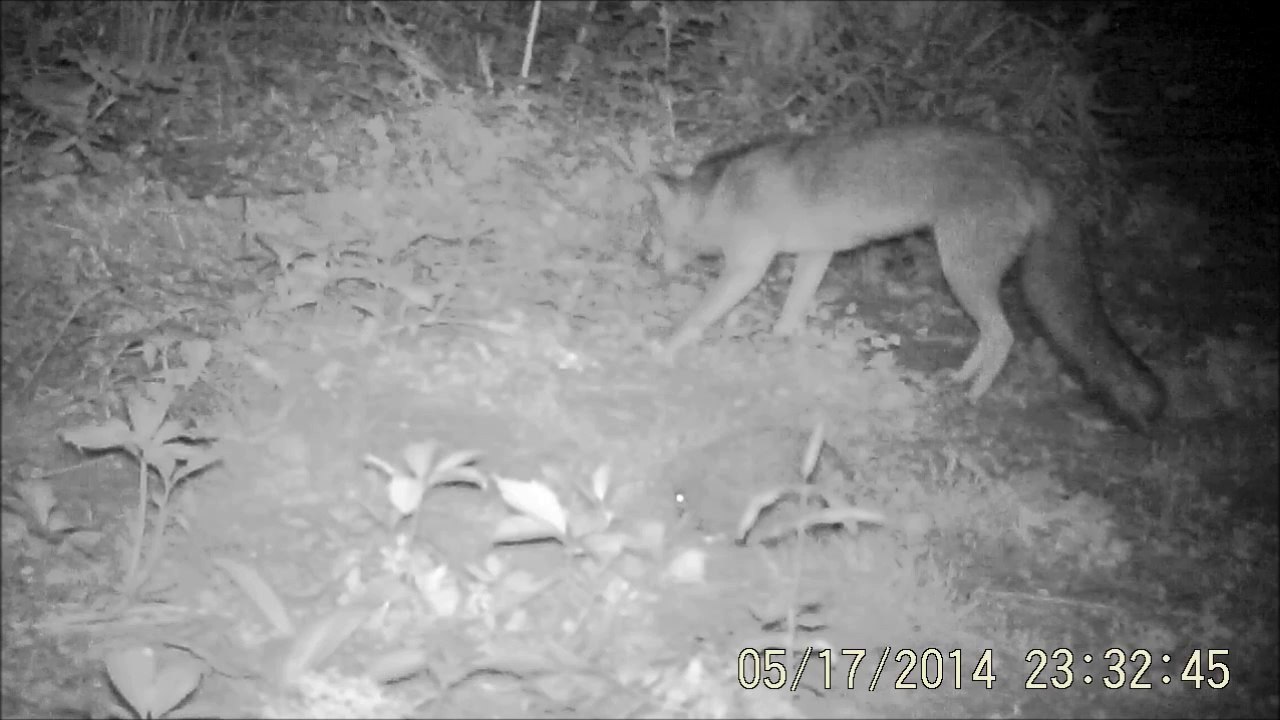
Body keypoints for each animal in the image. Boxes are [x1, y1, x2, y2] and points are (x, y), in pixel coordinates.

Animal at [644, 123, 1166, 432]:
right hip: (966, 275)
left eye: (657, 232)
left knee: (1004, 335)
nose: (650, 264)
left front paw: (666, 349)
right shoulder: (817, 253)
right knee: (992, 335)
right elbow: (792, 313)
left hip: (961, 272)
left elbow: (697, 318)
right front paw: (779, 345)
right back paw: (959, 377)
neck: (724, 195)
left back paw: (973, 395)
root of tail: (1031, 166)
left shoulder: (748, 266)